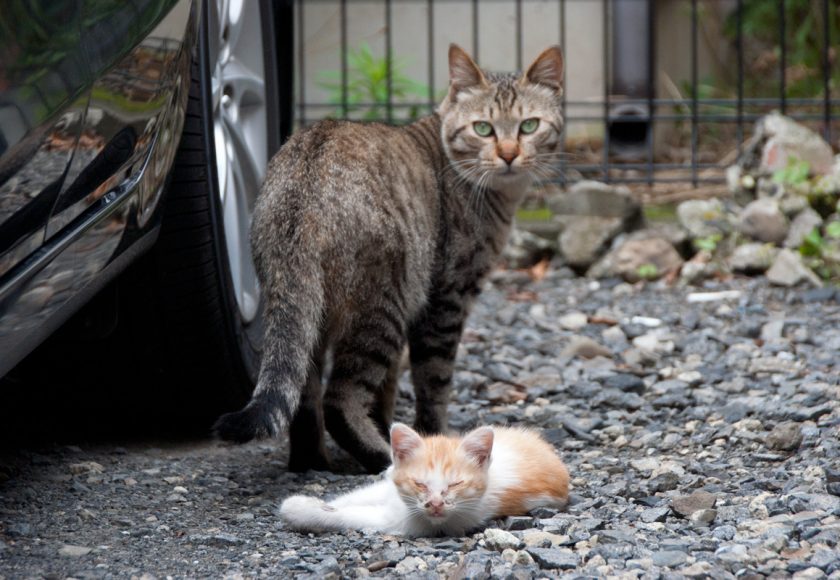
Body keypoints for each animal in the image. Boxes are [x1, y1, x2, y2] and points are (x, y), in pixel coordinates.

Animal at [213, 44, 564, 472]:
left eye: (529, 126)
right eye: (483, 129)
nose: (510, 154)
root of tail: (303, 185)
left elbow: (389, 386)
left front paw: (389, 425)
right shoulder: (444, 300)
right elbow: (434, 382)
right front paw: (433, 435)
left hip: (308, 314)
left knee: (304, 396)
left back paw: (314, 461)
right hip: (382, 307)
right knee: (339, 401)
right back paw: (382, 457)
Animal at [280, 422, 572, 540]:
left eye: (455, 485)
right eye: (420, 483)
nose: (435, 503)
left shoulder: (406, 523)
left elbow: (347, 516)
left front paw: (298, 509)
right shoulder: (388, 489)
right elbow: (353, 497)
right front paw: (314, 502)